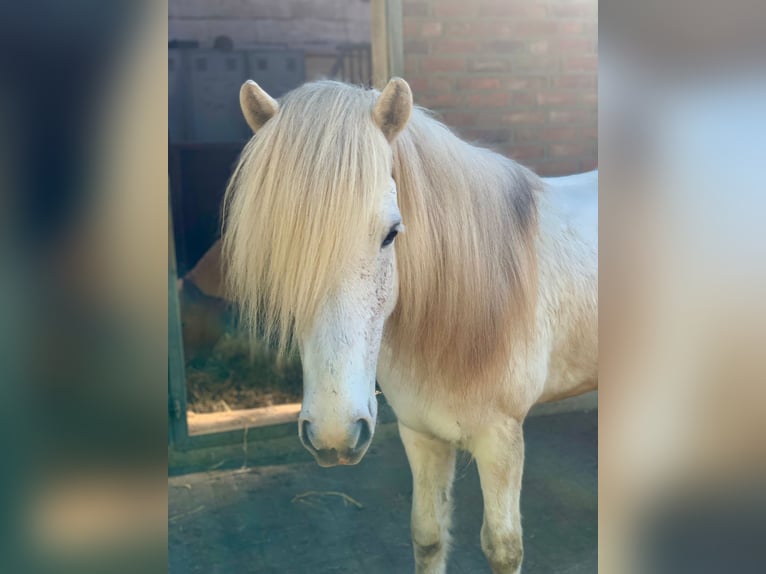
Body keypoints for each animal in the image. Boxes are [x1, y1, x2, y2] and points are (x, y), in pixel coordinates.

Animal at [222, 77, 600, 574]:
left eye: (391, 233)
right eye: (280, 244)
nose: (333, 435)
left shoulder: (501, 442)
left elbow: (503, 546)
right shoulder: (420, 435)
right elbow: (428, 535)